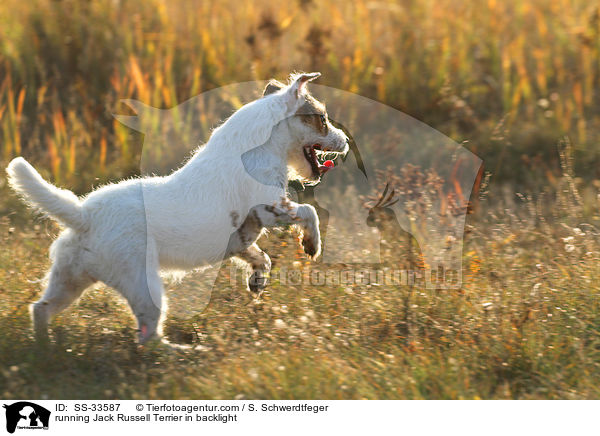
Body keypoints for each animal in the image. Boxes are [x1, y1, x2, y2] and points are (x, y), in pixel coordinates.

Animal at [7, 72, 350, 344]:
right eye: (321, 119)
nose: (346, 141)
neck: (258, 144)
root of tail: (84, 215)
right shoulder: (271, 208)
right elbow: (308, 213)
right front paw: (312, 244)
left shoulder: (241, 236)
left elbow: (261, 257)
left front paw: (257, 280)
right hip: (144, 288)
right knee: (150, 337)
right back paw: (182, 352)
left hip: (69, 279)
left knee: (40, 309)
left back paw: (45, 347)